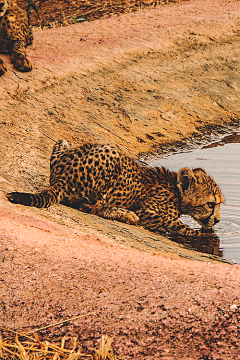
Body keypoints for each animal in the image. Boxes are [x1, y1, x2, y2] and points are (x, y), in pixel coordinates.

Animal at [7, 140, 225, 236]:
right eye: (210, 204)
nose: (218, 221)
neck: (177, 191)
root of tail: (62, 176)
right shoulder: (148, 212)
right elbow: (179, 225)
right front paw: (202, 235)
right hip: (111, 153)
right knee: (90, 206)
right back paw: (126, 214)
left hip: (64, 142)